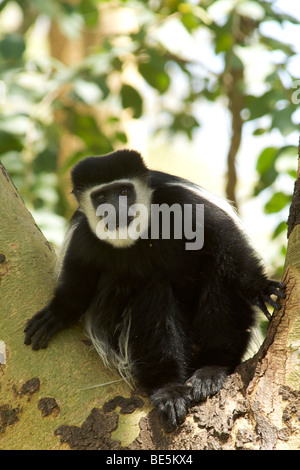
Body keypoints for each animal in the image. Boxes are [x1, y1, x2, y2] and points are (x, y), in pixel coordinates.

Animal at [24, 149, 284, 432]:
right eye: (101, 197)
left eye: (124, 191)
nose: (115, 210)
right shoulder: (83, 236)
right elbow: (77, 284)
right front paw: (58, 313)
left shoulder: (182, 201)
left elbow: (227, 242)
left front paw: (261, 287)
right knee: (150, 290)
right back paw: (168, 388)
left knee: (219, 270)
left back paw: (212, 369)